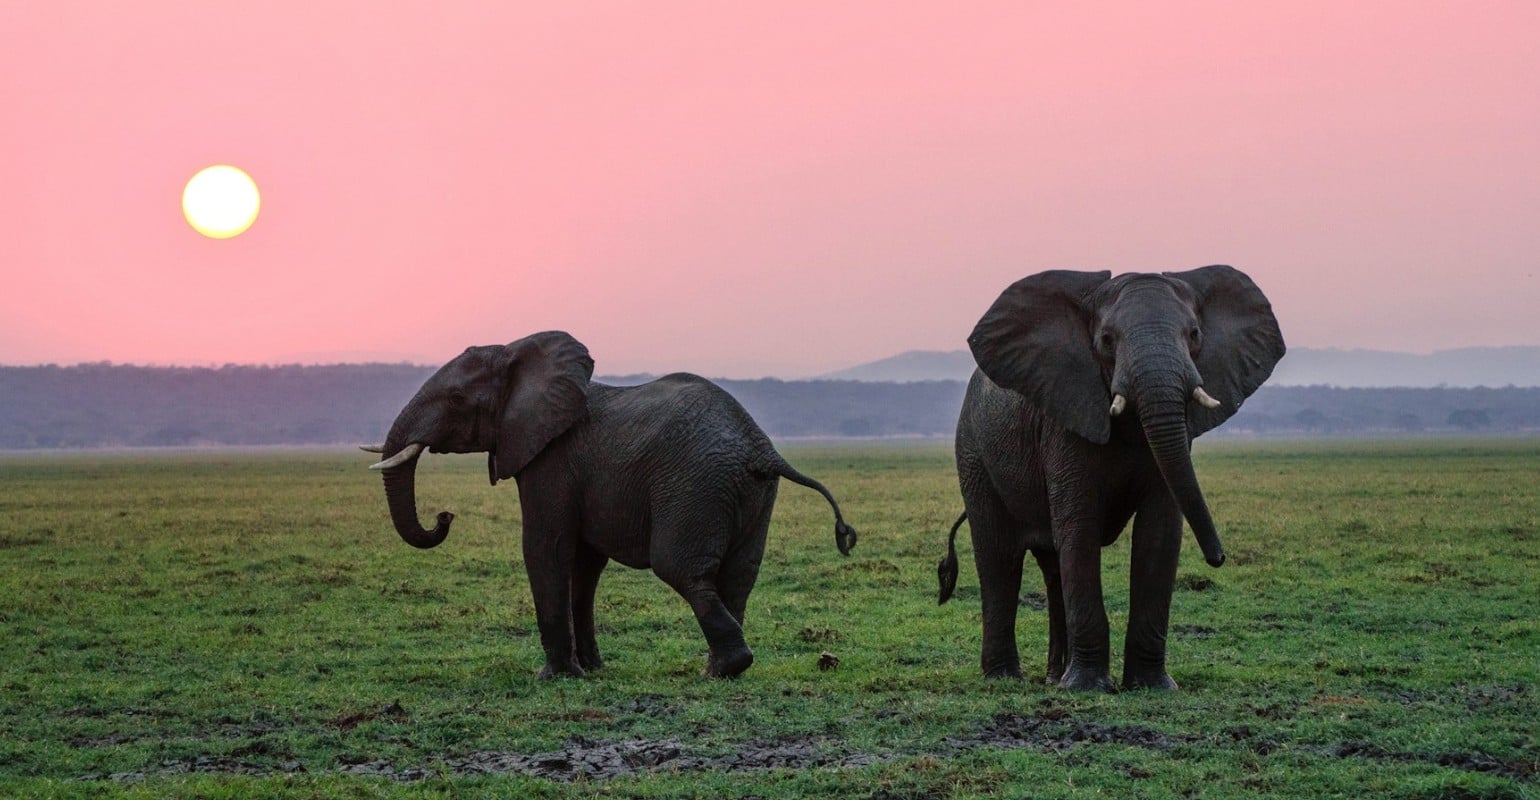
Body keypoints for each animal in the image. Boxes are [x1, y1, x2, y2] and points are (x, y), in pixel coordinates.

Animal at [365, 331, 857, 679]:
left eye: (455, 399)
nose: (444, 516)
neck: (517, 352)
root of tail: (761, 448)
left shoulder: (551, 460)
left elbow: (546, 548)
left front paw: (555, 677)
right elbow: (584, 565)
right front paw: (593, 670)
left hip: (696, 486)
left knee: (681, 569)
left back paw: (723, 669)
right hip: (751, 492)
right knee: (738, 576)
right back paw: (720, 670)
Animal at [937, 265, 1284, 692]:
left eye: (1194, 335)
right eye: (1106, 340)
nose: (1218, 558)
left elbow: (1159, 533)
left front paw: (1152, 687)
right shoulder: (1065, 418)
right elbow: (1080, 529)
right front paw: (1087, 688)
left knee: (1052, 566)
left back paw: (1053, 678)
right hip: (974, 453)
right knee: (1000, 556)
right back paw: (1006, 678)